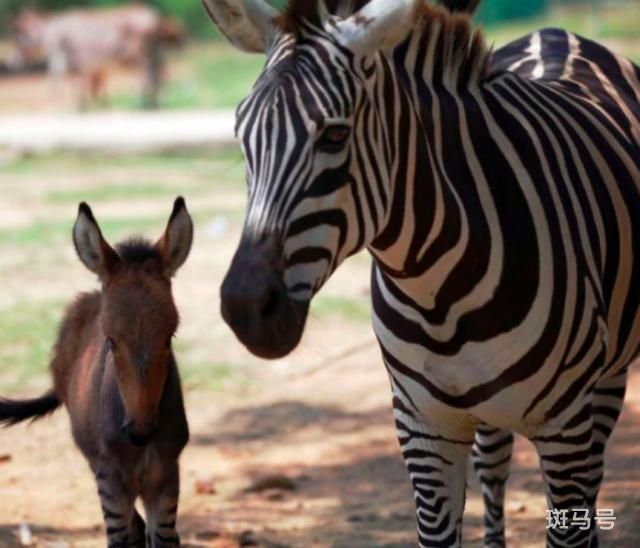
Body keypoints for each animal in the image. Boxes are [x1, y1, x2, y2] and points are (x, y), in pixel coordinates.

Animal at [0, 198, 195, 548]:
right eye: (111, 341)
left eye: (169, 338)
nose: (141, 433)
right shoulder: (110, 480)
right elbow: (121, 537)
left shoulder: (167, 476)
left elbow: (163, 537)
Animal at [210, 1, 640, 544]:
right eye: (241, 136)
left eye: (335, 134)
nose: (245, 307)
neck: (438, 291)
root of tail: (556, 32)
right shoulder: (423, 427)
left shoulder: (564, 428)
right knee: (494, 467)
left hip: (604, 382)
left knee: (592, 473)